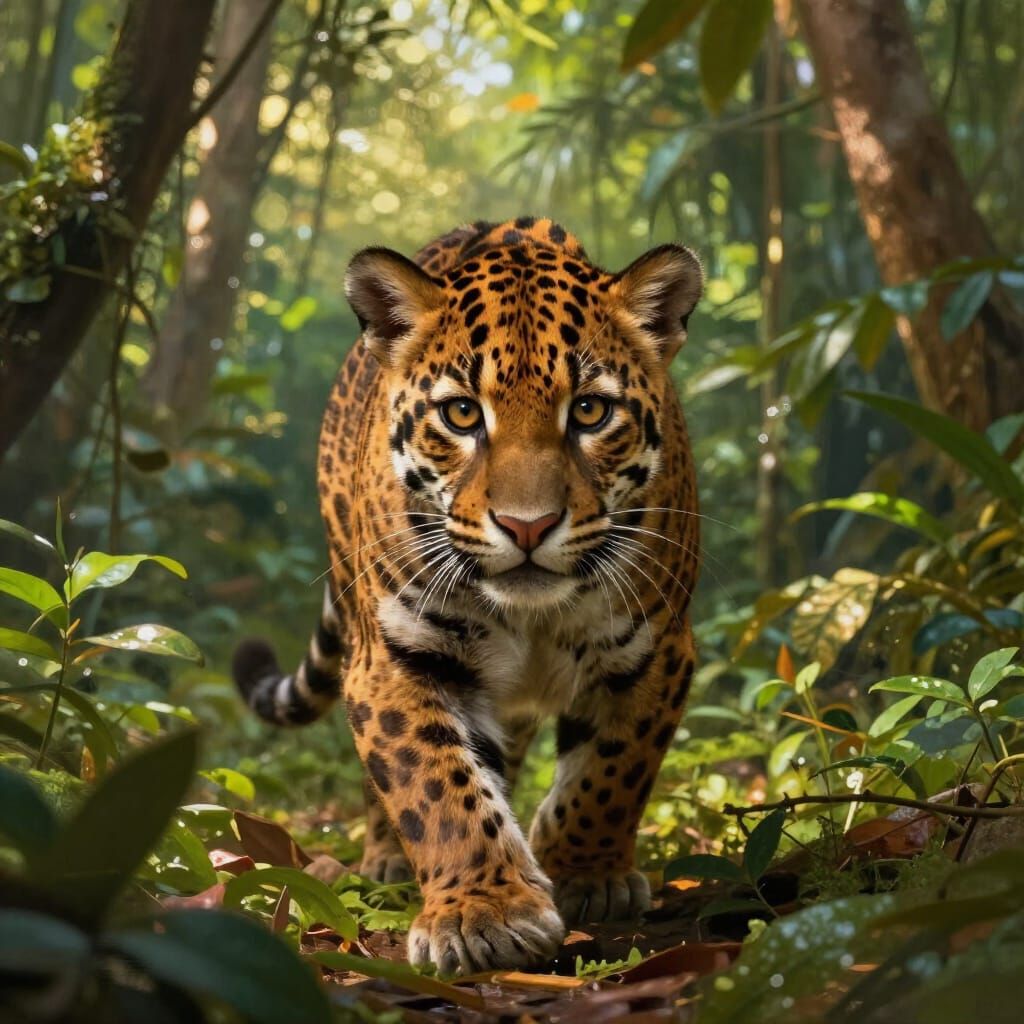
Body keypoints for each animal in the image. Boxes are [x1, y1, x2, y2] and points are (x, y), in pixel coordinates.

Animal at [233, 217, 702, 975]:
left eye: (591, 411)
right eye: (460, 414)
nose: (527, 526)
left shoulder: (656, 649)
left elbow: (611, 770)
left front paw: (585, 873)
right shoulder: (399, 654)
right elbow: (435, 784)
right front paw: (486, 913)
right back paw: (389, 859)